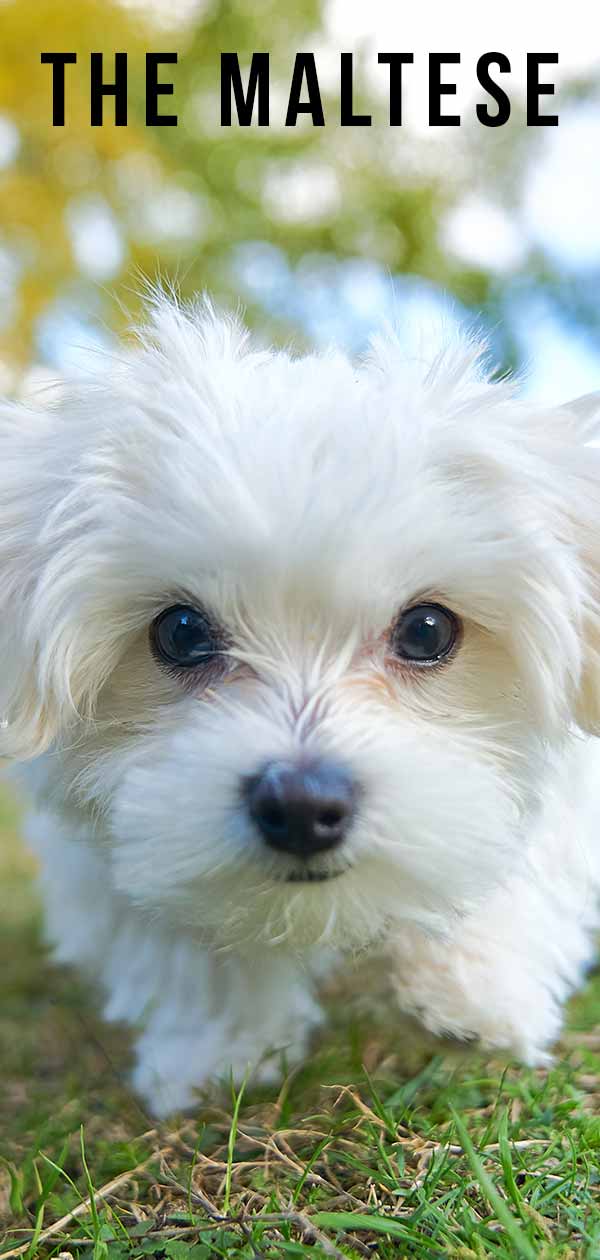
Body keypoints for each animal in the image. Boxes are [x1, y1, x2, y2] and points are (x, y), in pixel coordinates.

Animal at [1, 294, 600, 1113]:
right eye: (180, 631)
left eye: (428, 629)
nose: (301, 805)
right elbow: (176, 932)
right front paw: (216, 1048)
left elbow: (522, 846)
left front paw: (472, 992)